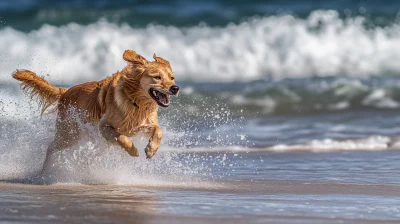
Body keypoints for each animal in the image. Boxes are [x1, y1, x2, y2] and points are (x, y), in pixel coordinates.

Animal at [12, 50, 178, 167]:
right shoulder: (103, 127)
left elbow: (159, 131)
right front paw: (133, 150)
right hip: (68, 134)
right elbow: (122, 138)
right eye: (157, 77)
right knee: (51, 149)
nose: (175, 88)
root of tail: (65, 92)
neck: (135, 102)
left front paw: (151, 149)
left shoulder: (143, 124)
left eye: (172, 77)